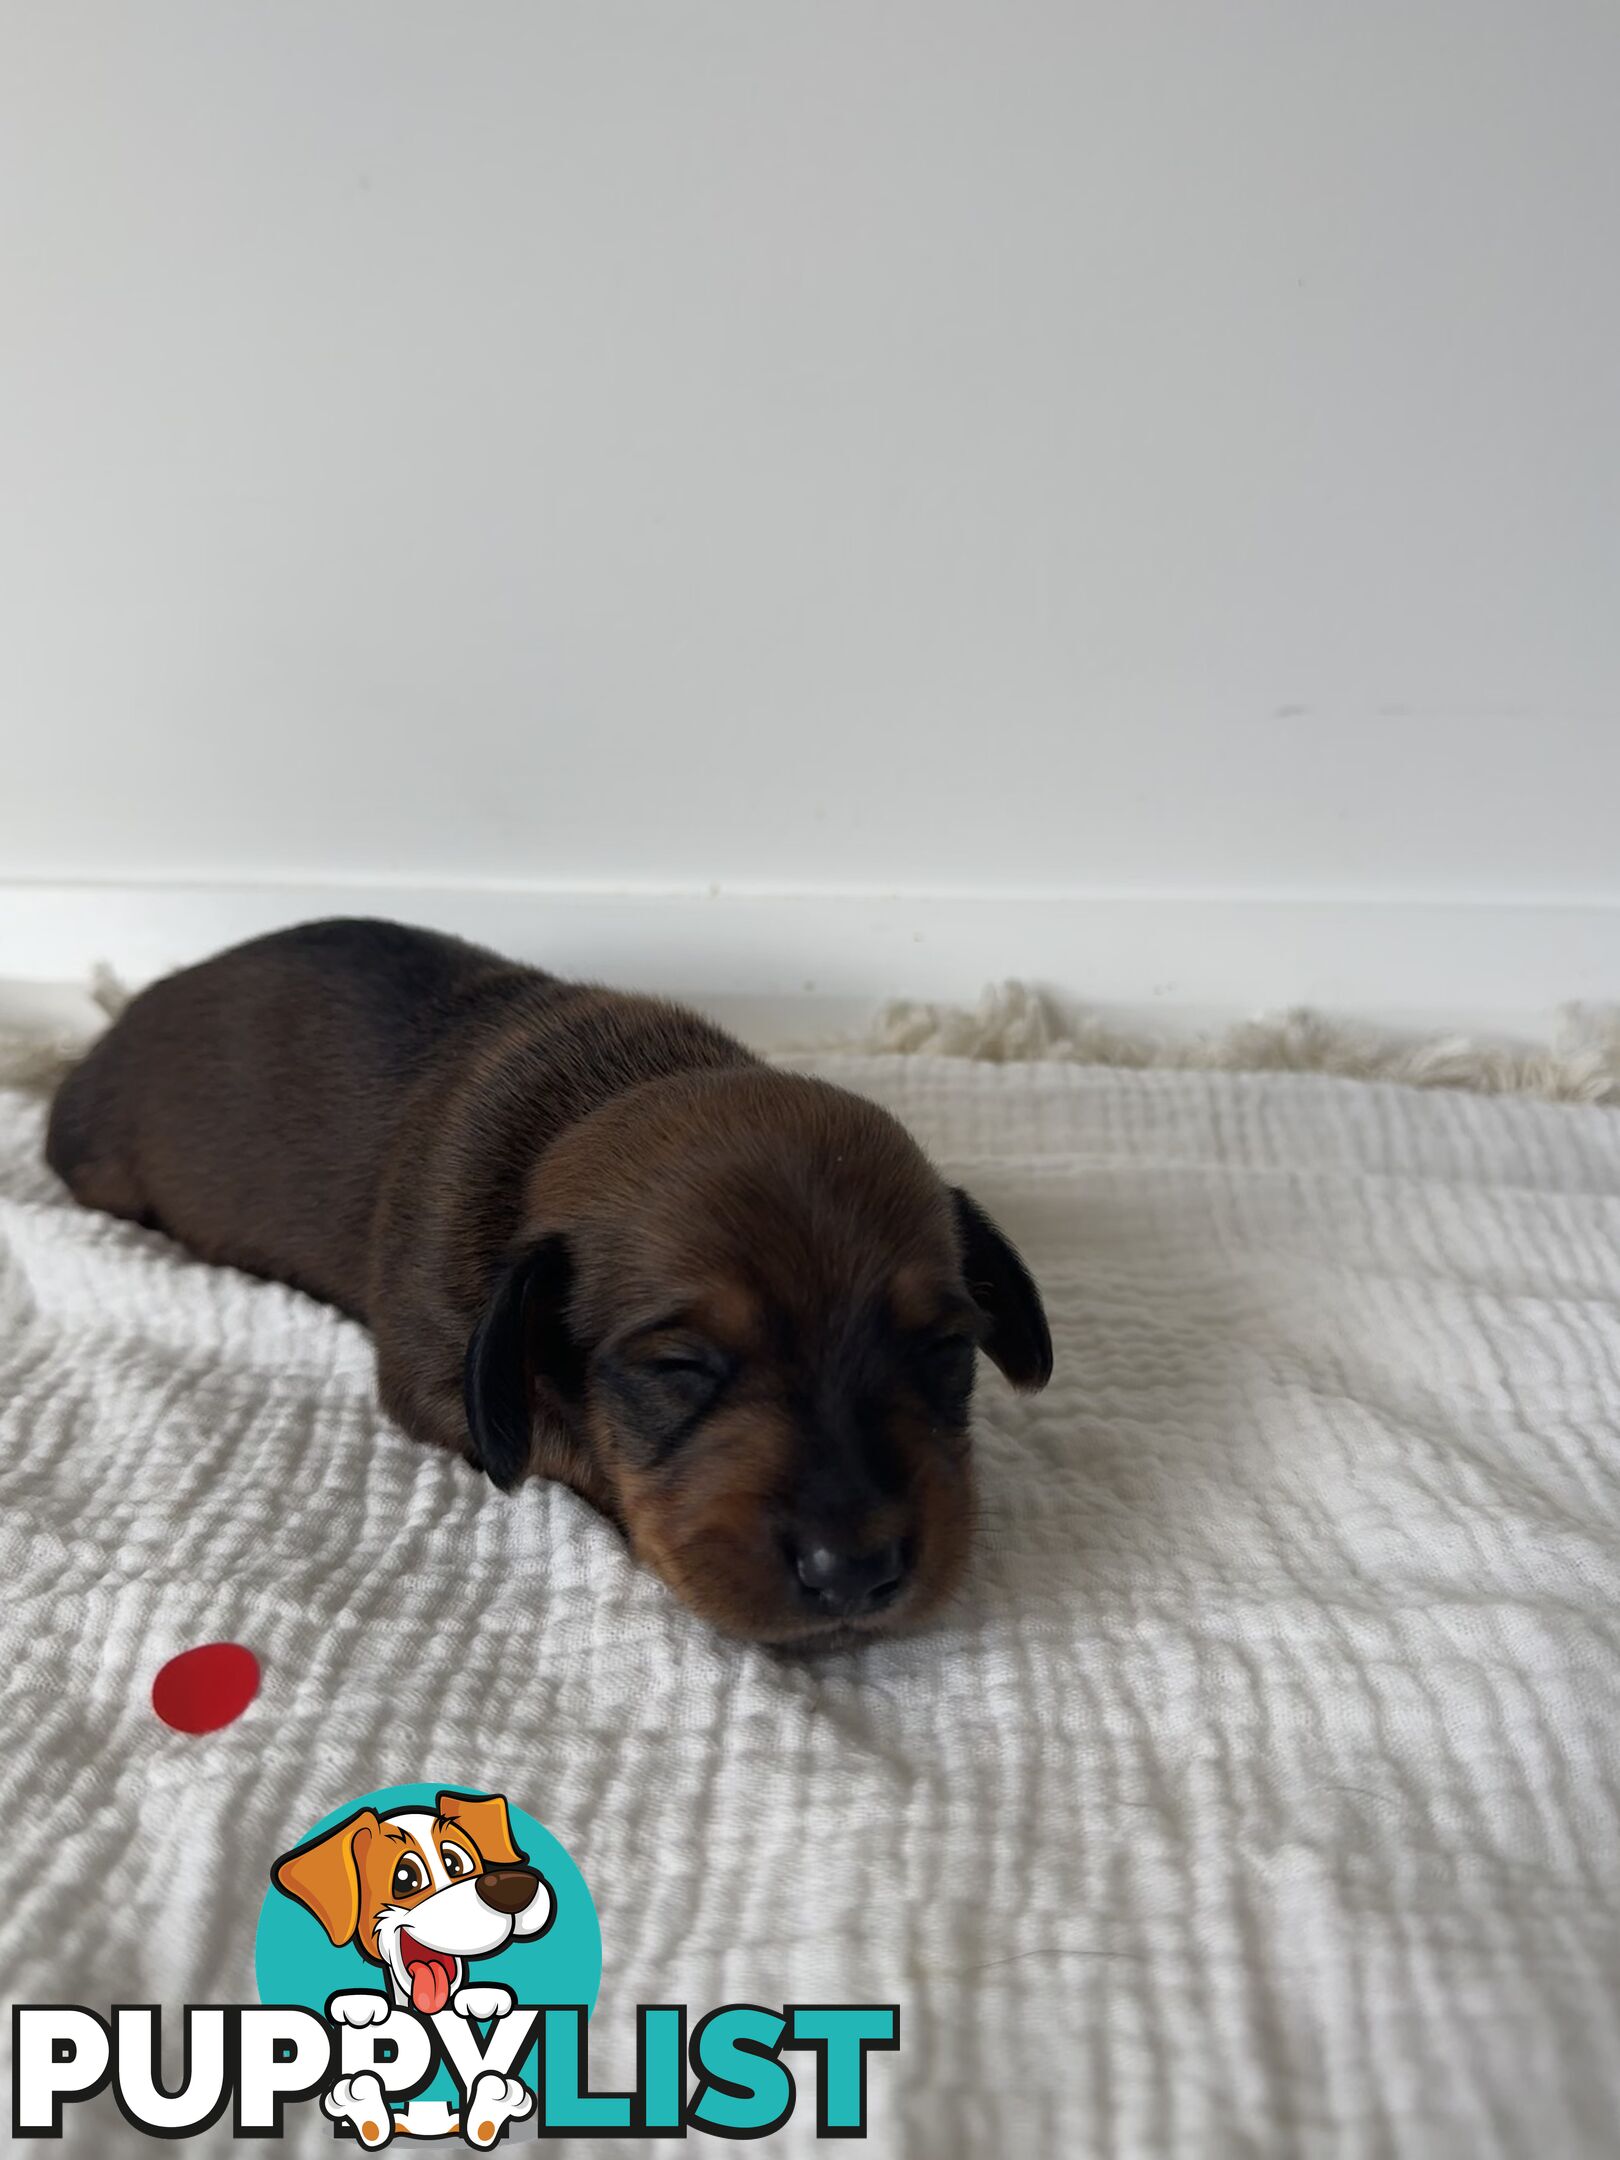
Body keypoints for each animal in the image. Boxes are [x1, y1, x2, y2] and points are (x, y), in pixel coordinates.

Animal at [44, 920, 1054, 1641]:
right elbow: (553, 1442)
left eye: (948, 1350)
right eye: (678, 1369)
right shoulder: (436, 1381)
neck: (594, 1100)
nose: (856, 1574)